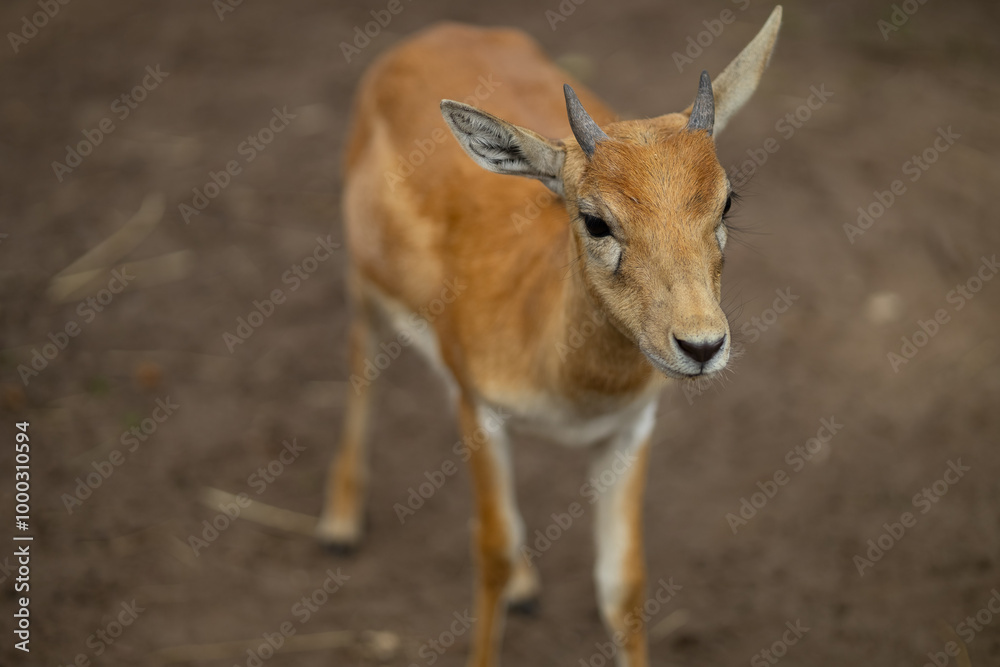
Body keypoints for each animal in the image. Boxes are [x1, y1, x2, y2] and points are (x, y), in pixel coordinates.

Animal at [319, 7, 783, 666]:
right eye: (596, 219)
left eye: (726, 202)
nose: (701, 344)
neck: (569, 394)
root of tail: (433, 33)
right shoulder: (482, 409)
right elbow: (489, 553)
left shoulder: (629, 428)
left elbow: (622, 581)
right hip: (364, 281)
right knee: (363, 356)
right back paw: (338, 524)